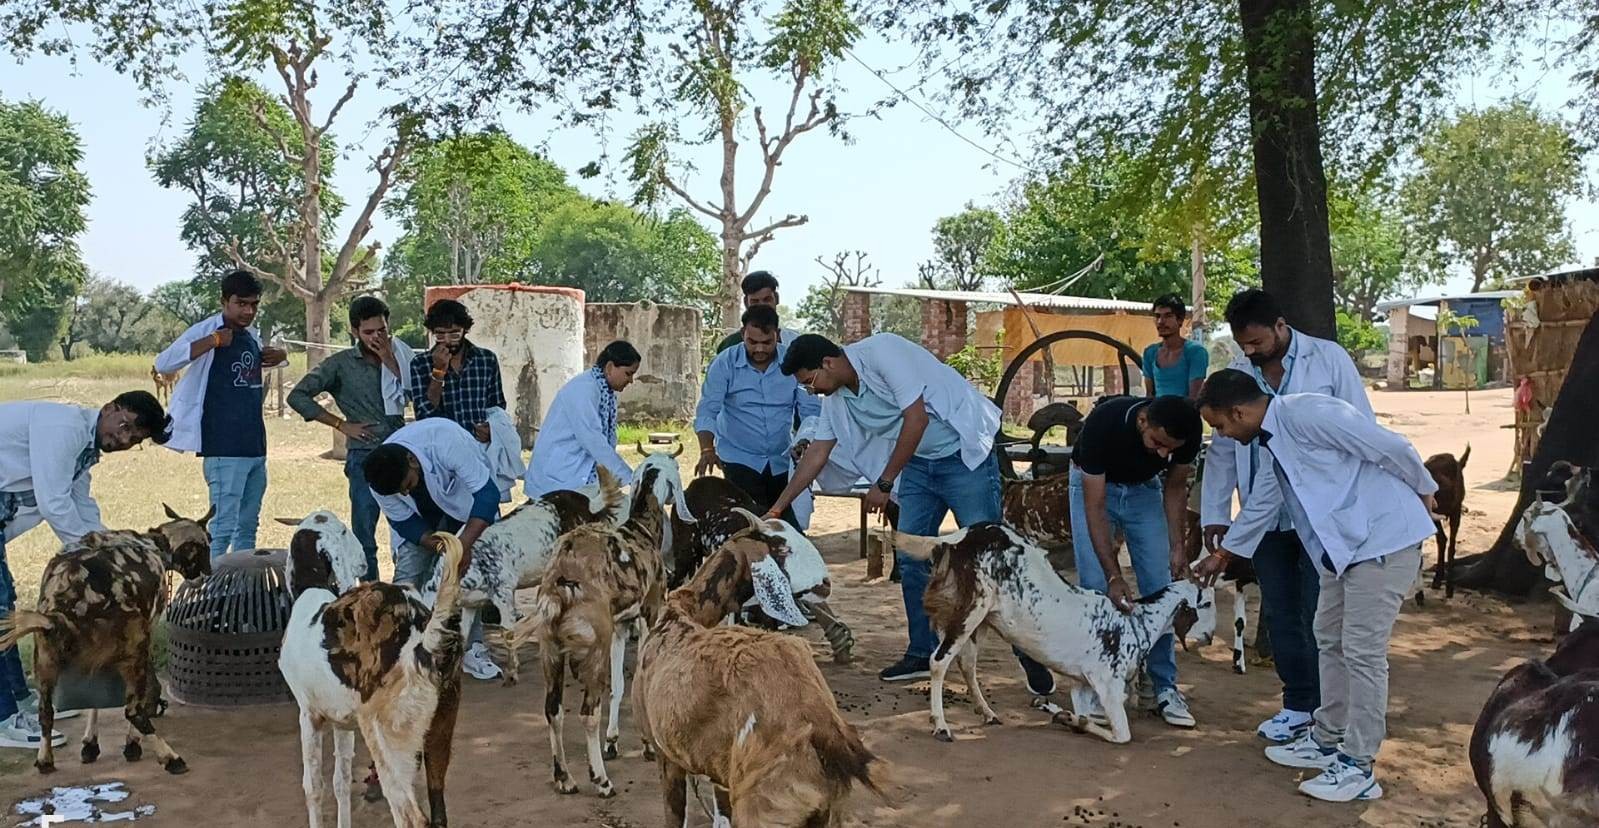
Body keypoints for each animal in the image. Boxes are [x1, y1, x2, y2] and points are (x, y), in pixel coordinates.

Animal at [0, 505, 212, 780]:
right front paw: (131, 744)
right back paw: (170, 758)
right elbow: (148, 693)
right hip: (134, 647)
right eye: (205, 545)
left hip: (45, 659)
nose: (207, 574)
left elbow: (95, 699)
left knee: (46, 713)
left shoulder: (94, 660)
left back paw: (45, 760)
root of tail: (61, 607)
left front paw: (90, 743)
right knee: (134, 710)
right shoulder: (144, 634)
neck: (155, 544)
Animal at [630, 511, 882, 828]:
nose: (825, 583)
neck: (684, 613)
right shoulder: (718, 776)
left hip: (764, 808)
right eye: (782, 547)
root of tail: (821, 723)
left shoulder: (666, 756)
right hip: (826, 810)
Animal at [895, 527, 1196, 748]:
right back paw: (941, 726)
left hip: (977, 619)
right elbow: (1120, 734)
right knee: (938, 661)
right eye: (1202, 601)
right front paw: (1068, 718)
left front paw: (1063, 715)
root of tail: (953, 540)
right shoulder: (1106, 684)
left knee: (966, 664)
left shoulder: (1082, 684)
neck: (1135, 623)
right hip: (970, 610)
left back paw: (988, 713)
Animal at [1426, 444, 1471, 601]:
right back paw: (1437, 580)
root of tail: (1459, 463)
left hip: (1456, 509)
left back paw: (1449, 587)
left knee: (1451, 544)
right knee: (1442, 539)